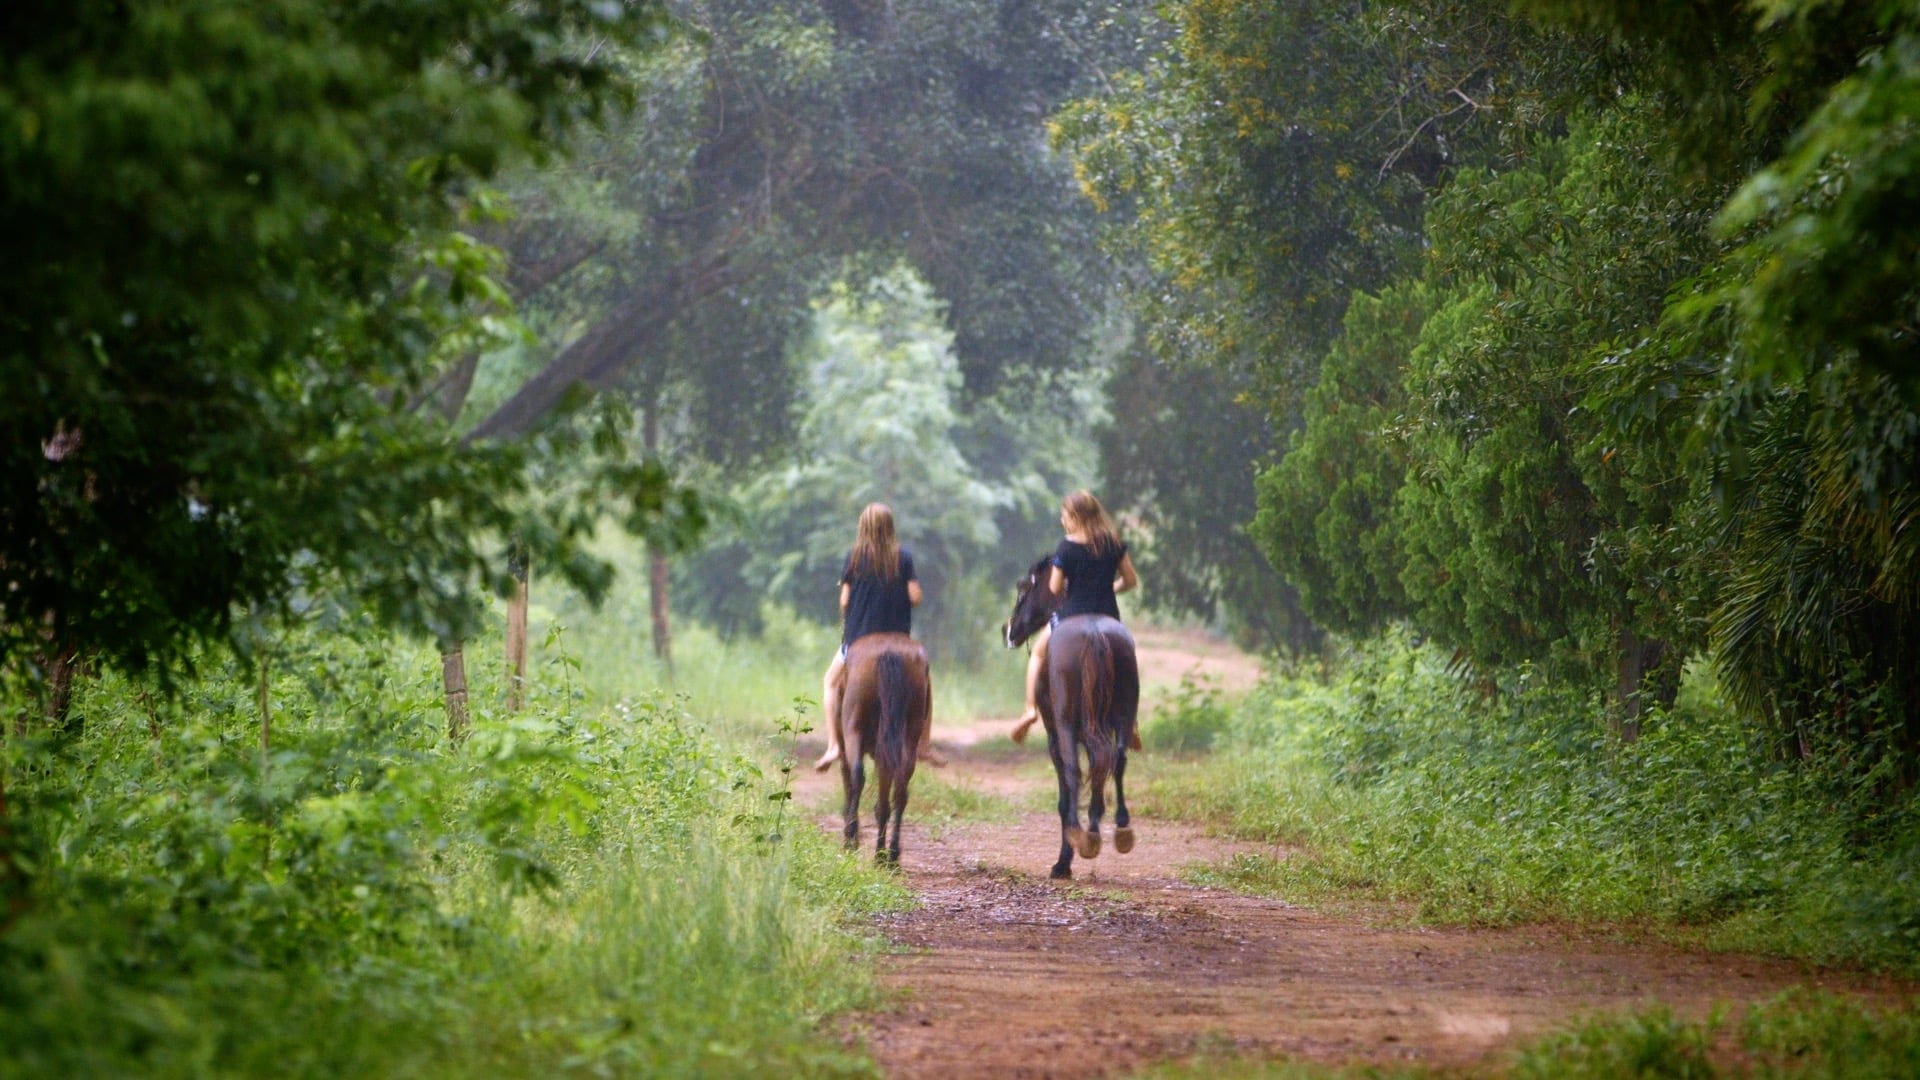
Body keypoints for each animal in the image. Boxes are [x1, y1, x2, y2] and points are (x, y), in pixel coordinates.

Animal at [837, 626, 933, 860]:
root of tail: (890, 653)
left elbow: (849, 779)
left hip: (853, 727)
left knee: (857, 774)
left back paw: (853, 839)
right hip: (908, 734)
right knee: (899, 789)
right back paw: (890, 855)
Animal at [1006, 553, 1136, 876]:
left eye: (1023, 590)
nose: (1009, 631)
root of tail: (1096, 634)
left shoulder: (1056, 735)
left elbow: (1065, 793)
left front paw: (1065, 859)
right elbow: (1100, 771)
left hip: (1064, 724)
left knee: (1076, 771)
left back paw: (1078, 841)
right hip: (1124, 715)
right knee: (1117, 760)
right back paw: (1117, 831)